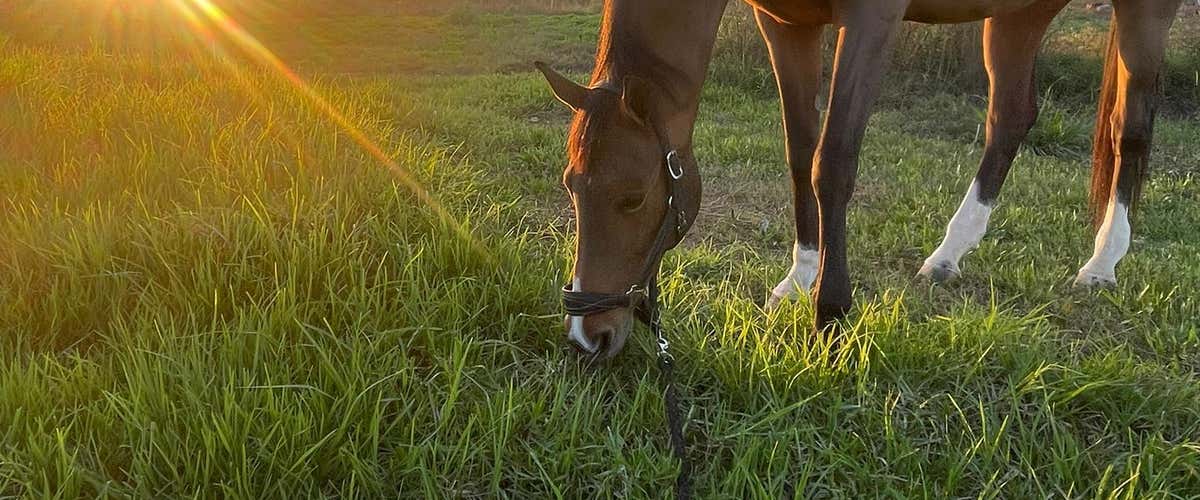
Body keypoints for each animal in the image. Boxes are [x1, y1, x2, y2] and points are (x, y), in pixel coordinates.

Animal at [539, 0, 1184, 358]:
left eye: (633, 198)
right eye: (572, 186)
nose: (589, 337)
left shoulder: (871, 19)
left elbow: (834, 161)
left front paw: (830, 313)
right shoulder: (784, 23)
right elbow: (800, 152)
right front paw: (799, 277)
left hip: (1143, 9)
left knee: (1132, 126)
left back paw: (1102, 262)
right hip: (1020, 14)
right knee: (1011, 116)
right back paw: (950, 253)